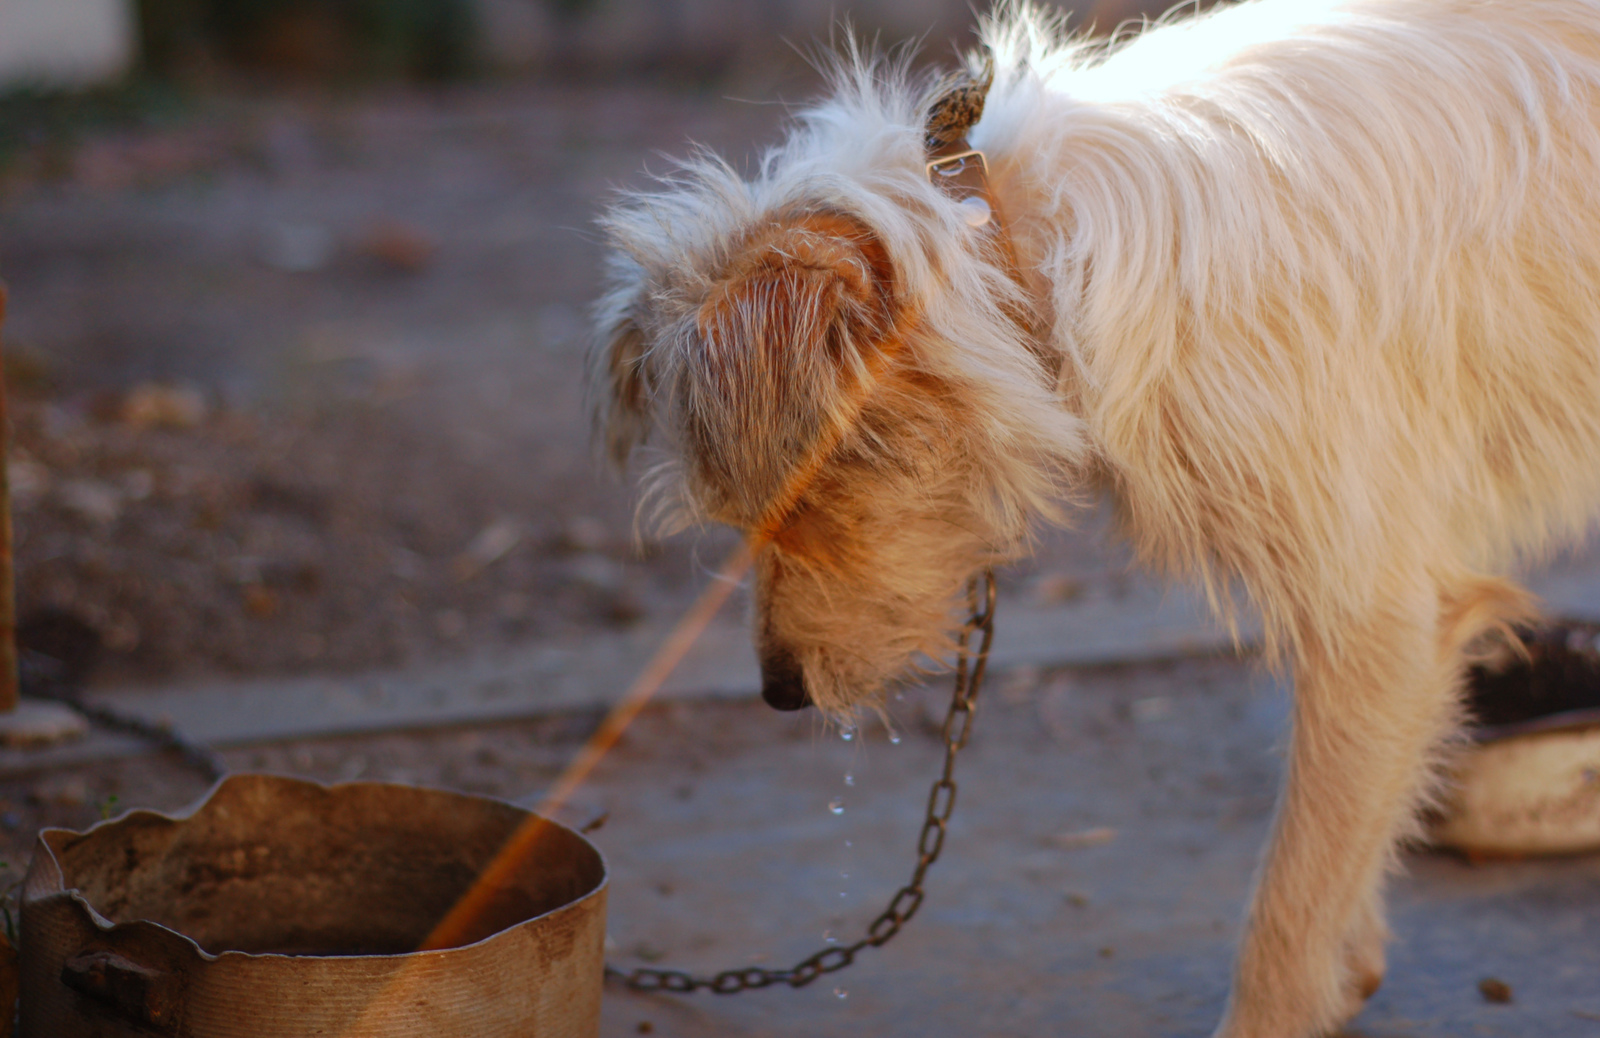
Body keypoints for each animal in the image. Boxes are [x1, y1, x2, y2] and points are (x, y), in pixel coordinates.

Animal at [595, 4, 1600, 1030]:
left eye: (801, 502)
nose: (779, 693)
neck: (1024, 243)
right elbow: (1344, 849)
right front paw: (1350, 967)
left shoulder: (1377, 620)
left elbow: (1288, 906)